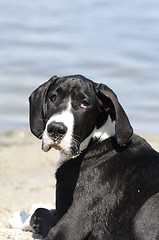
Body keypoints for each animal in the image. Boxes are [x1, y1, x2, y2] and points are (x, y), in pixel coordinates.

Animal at [28, 74, 159, 239]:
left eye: (84, 103)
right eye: (53, 97)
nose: (56, 129)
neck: (96, 140)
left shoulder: (67, 228)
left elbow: (39, 212)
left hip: (145, 212)